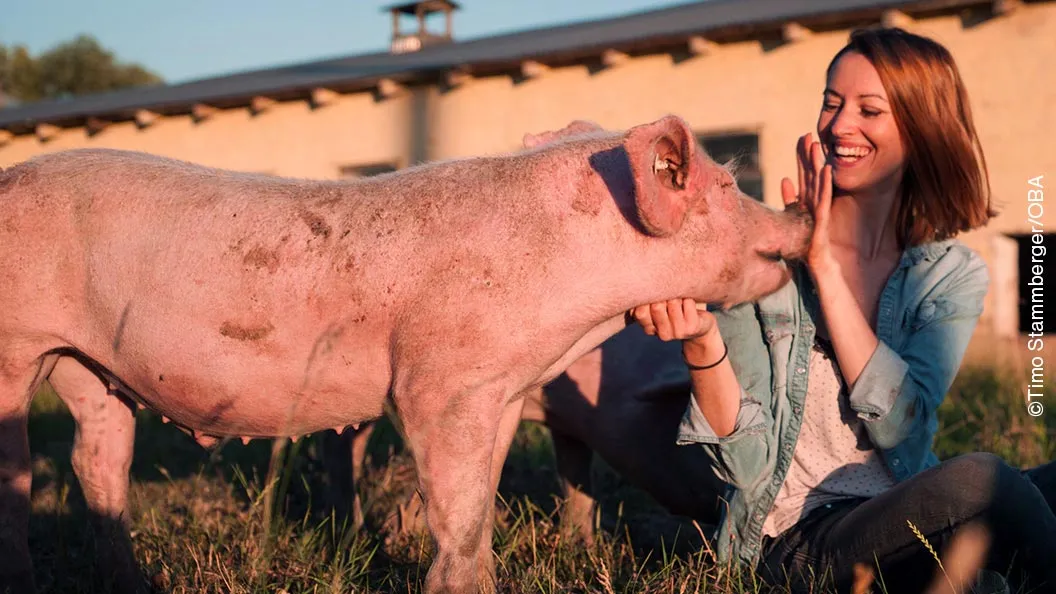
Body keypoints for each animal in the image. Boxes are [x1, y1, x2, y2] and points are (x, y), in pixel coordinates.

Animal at [0, 113, 811, 587]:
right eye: (723, 186)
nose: (801, 213)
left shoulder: (503, 393)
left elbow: (482, 513)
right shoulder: (437, 386)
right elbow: (455, 515)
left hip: (89, 367)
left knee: (97, 463)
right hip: (18, 349)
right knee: (23, 475)